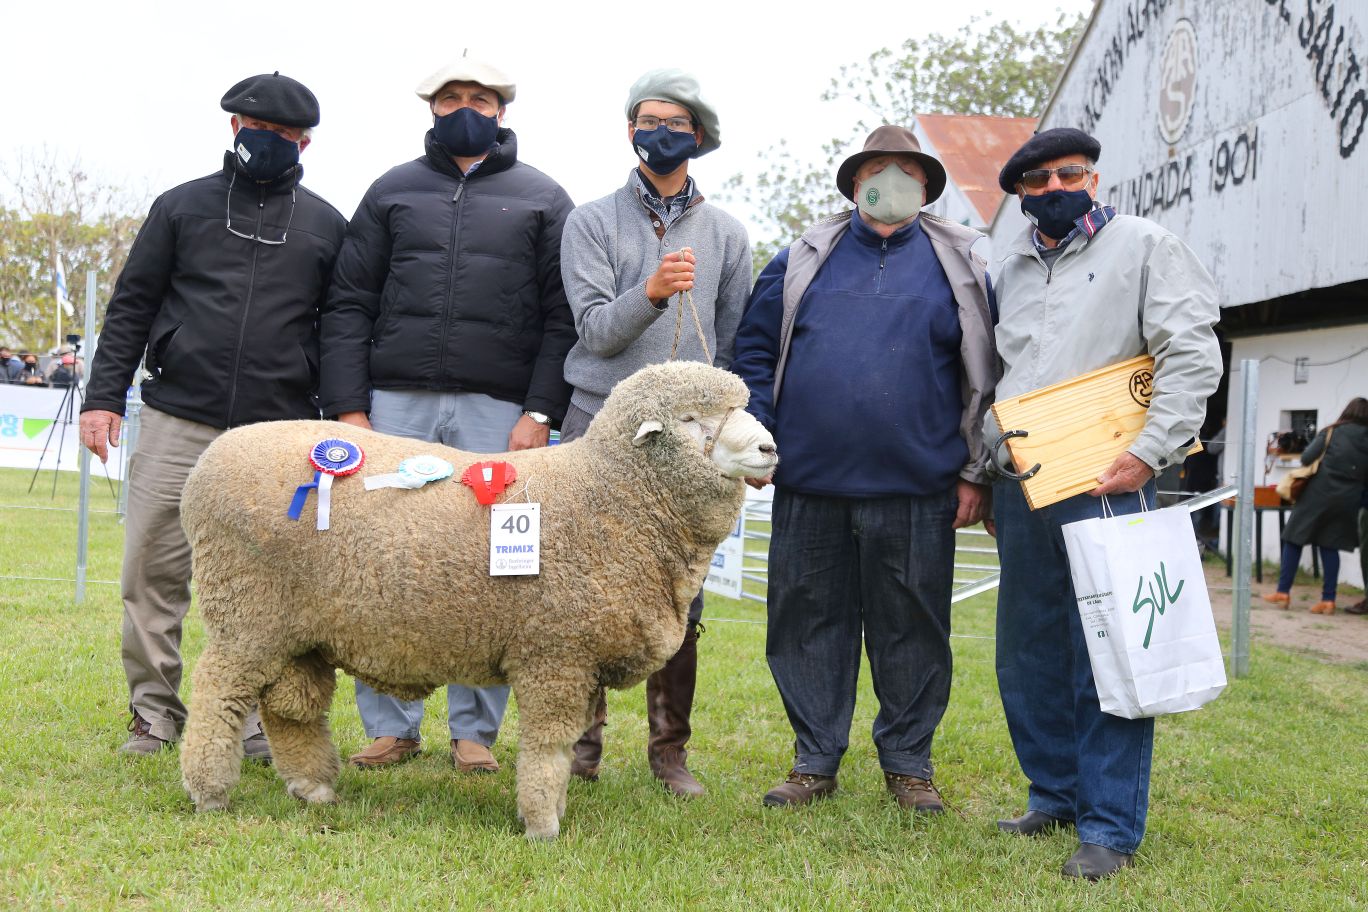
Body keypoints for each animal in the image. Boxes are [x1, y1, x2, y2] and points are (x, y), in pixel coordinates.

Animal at [177, 361, 777, 839]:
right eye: (692, 419)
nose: (770, 448)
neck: (609, 496)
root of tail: (210, 457)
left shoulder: (579, 660)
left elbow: (565, 746)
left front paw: (551, 810)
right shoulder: (555, 654)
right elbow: (548, 747)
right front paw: (543, 825)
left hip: (298, 629)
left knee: (290, 709)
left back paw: (314, 789)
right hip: (245, 612)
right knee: (216, 694)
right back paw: (209, 792)